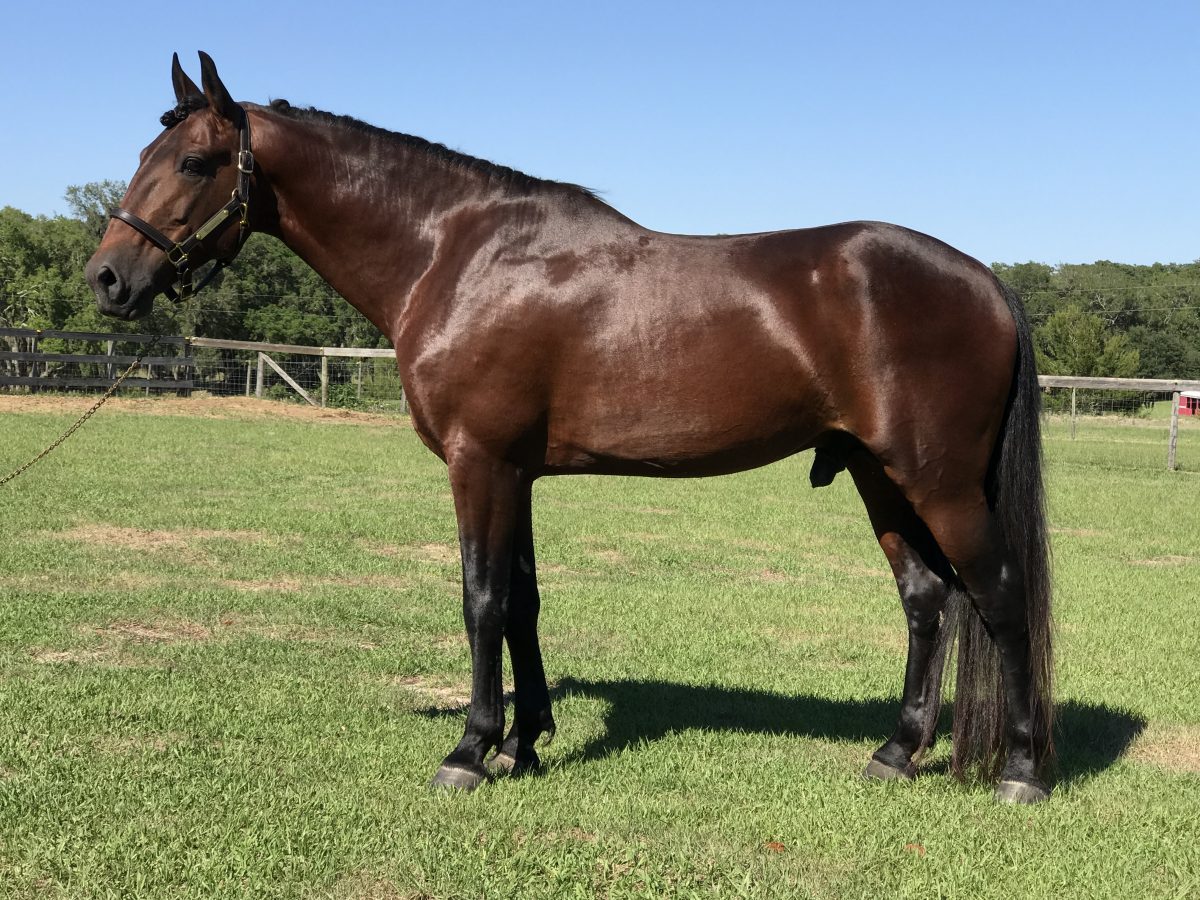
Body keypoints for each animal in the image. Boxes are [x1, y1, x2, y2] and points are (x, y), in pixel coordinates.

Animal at [86, 52, 1054, 803]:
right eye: (147, 152)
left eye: (198, 162)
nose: (107, 278)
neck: (456, 254)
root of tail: (985, 279)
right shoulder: (515, 470)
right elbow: (522, 602)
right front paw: (524, 741)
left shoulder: (479, 464)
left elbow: (480, 600)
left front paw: (469, 751)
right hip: (878, 475)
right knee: (927, 600)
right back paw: (896, 752)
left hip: (937, 481)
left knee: (1000, 596)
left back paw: (1022, 771)